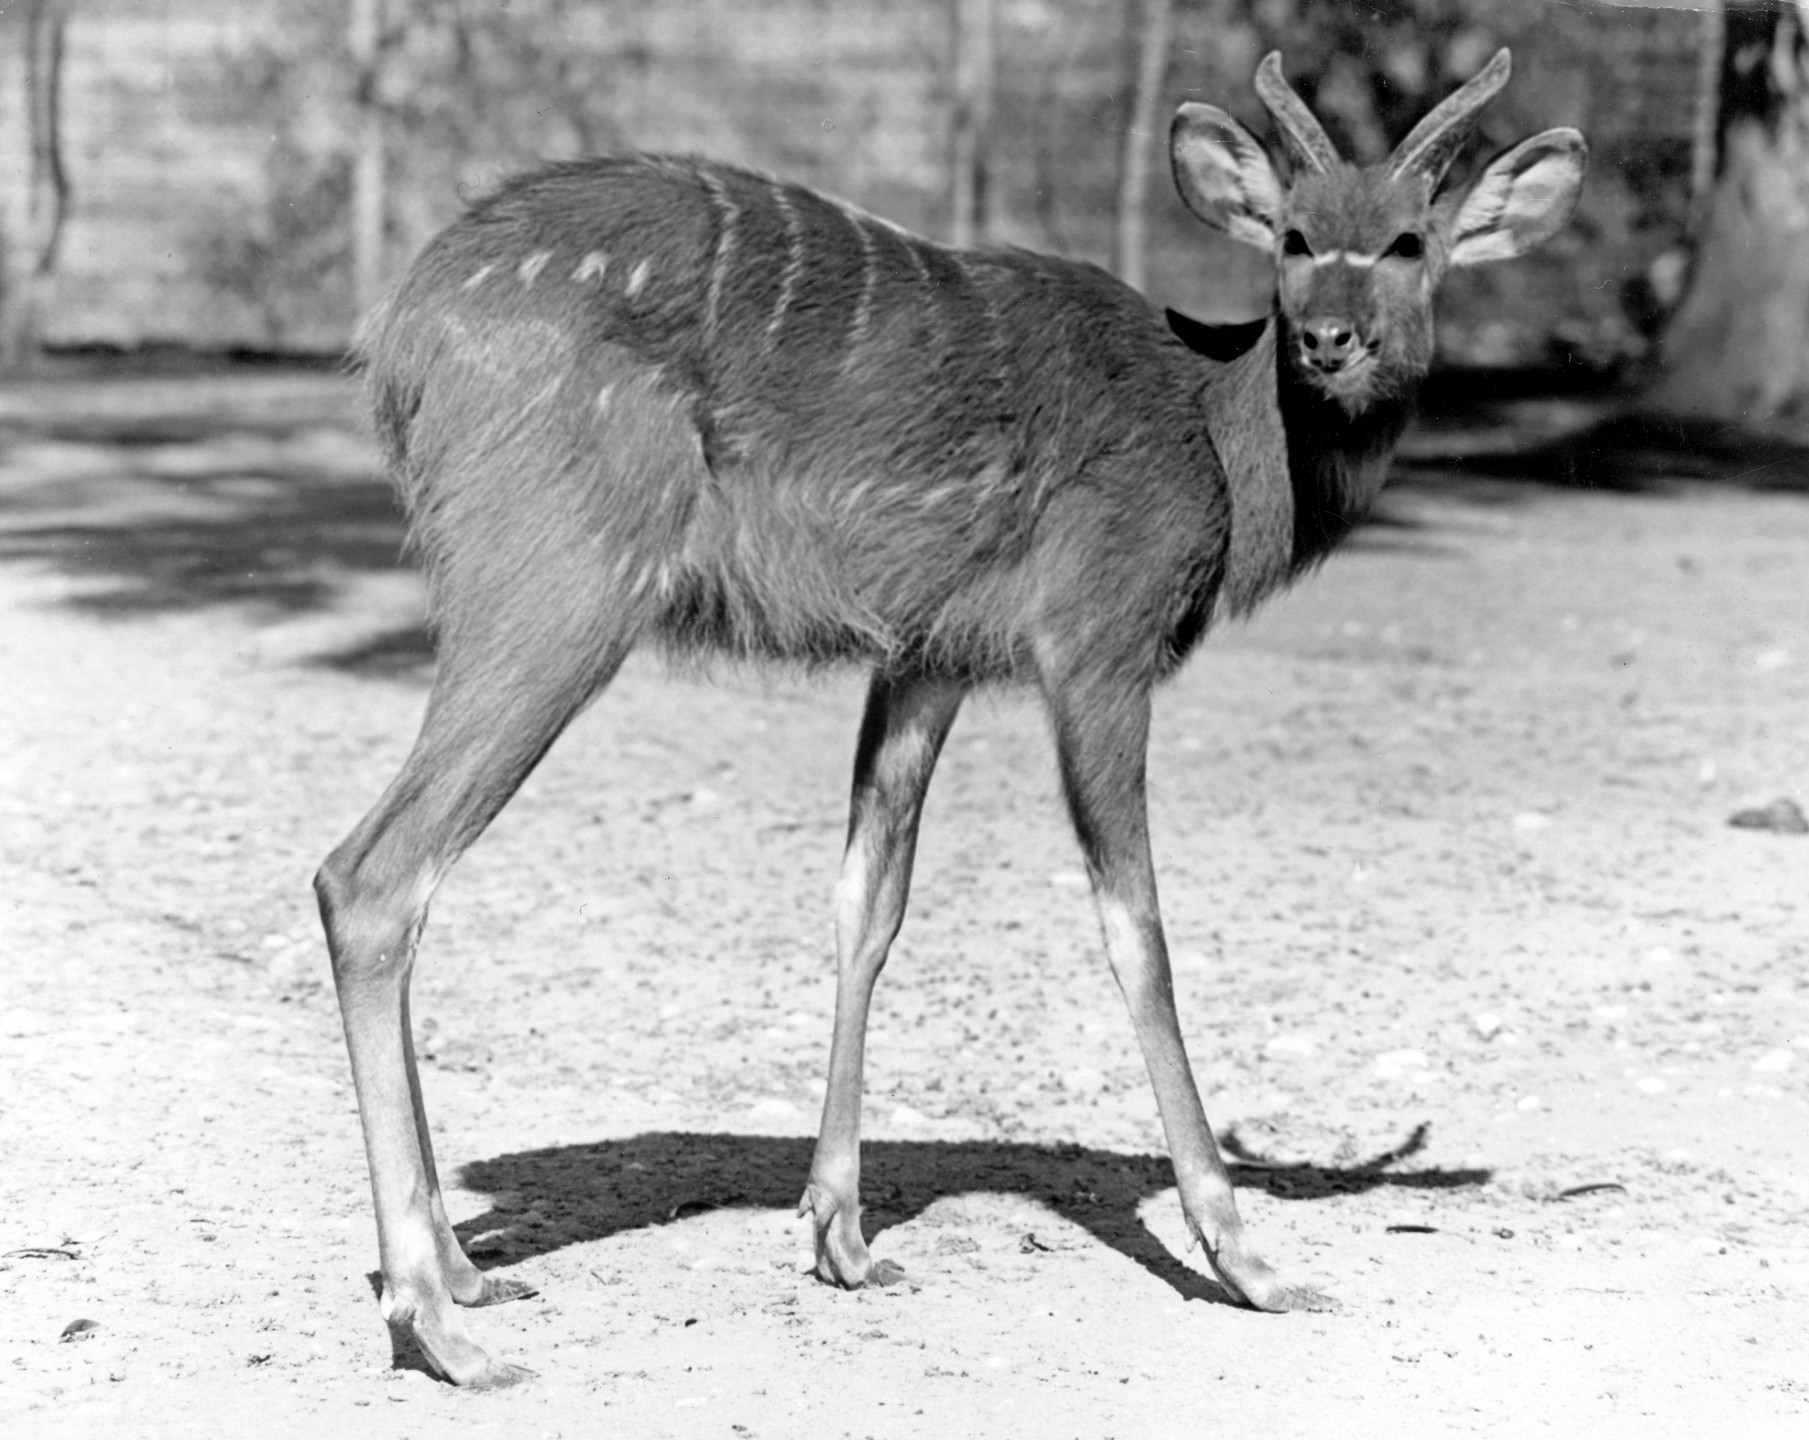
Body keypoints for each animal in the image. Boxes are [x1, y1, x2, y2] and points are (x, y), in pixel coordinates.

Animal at [322, 50, 1584, 1389]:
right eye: (1294, 237)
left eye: (1407, 241)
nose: (1330, 338)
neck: (1216, 436)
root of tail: (400, 336)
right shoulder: (1096, 645)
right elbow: (1137, 930)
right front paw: (1251, 1261)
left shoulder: (928, 657)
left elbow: (867, 903)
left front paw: (840, 1236)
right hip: (563, 586)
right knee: (373, 876)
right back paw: (437, 1324)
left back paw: (465, 1272)